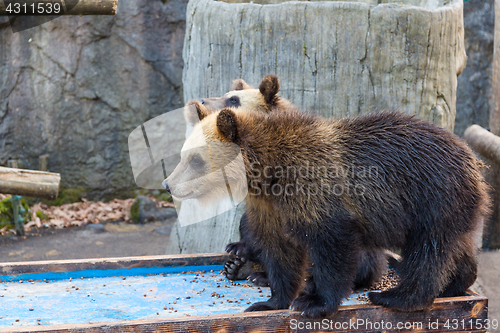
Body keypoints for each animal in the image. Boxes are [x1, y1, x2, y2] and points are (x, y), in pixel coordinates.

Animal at [165, 77, 488, 316]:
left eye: (196, 160)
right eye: (183, 154)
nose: (169, 184)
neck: (268, 172)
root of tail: (473, 159)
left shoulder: (318, 189)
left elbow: (332, 246)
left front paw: (314, 302)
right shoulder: (271, 205)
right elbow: (279, 249)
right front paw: (268, 301)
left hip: (432, 195)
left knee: (428, 251)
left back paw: (395, 296)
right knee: (453, 246)